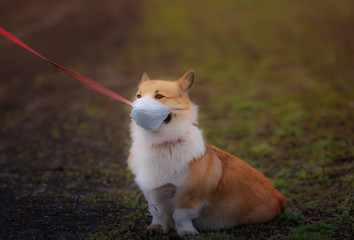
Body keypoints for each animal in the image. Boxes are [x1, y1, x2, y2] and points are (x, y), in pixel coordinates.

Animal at [129, 70, 286, 236]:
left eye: (159, 96)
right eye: (138, 96)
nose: (137, 108)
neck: (161, 144)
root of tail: (281, 198)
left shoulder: (187, 194)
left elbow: (181, 215)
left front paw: (186, 232)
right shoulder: (153, 191)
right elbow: (158, 212)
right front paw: (157, 228)